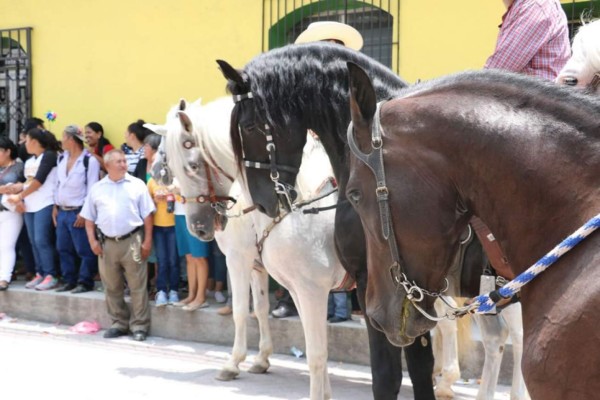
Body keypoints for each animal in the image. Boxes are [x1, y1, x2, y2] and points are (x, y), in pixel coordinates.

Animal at [149, 97, 346, 400]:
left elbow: (241, 310)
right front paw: (261, 359)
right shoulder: (262, 267)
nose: (198, 227)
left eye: (192, 166)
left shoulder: (239, 259)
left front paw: (233, 363)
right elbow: (262, 308)